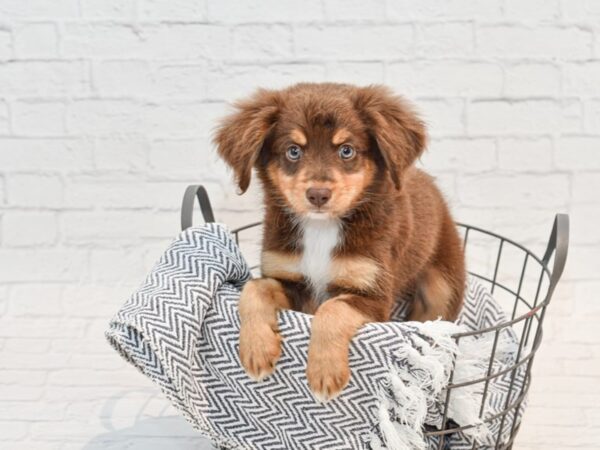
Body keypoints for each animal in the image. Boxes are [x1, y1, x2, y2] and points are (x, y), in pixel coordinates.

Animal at [213, 82, 466, 402]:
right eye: (293, 151)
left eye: (346, 150)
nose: (318, 195)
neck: (322, 228)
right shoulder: (290, 278)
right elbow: (255, 288)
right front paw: (257, 349)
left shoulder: (373, 294)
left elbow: (333, 309)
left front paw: (324, 373)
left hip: (442, 288)